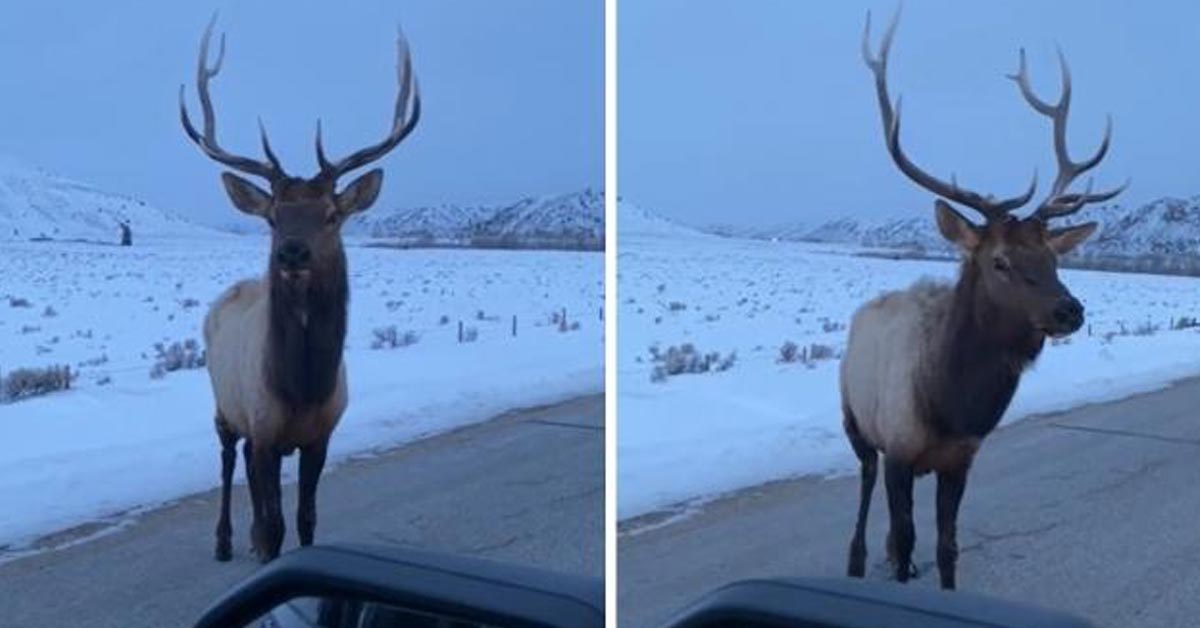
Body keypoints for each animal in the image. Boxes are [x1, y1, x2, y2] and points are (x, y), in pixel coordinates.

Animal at [176, 17, 422, 561]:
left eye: (331, 214)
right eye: (272, 216)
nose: (291, 253)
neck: (303, 386)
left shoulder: (320, 435)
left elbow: (306, 519)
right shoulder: (264, 426)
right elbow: (275, 526)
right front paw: (262, 546)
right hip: (223, 403)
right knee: (228, 459)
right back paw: (224, 540)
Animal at [844, 9, 1123, 590]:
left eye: (1054, 258)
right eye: (1000, 261)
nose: (1071, 310)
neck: (950, 404)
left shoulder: (961, 458)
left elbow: (947, 547)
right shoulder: (899, 449)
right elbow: (906, 539)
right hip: (855, 423)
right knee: (864, 487)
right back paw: (855, 560)